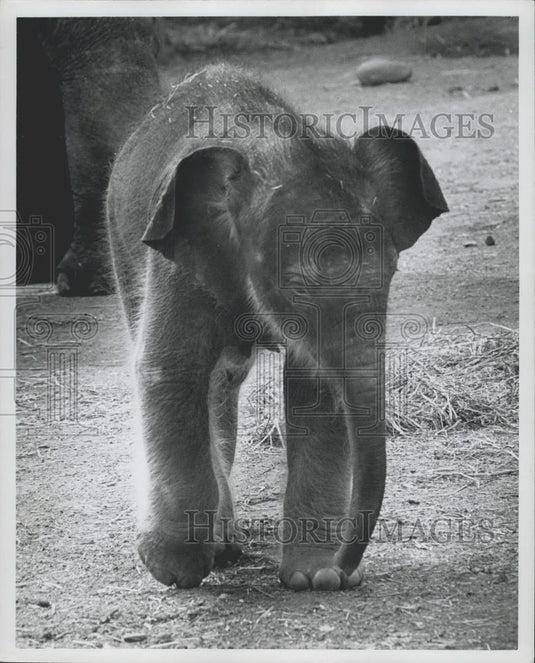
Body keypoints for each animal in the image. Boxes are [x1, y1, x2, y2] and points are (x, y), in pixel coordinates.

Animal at [107, 63, 448, 590]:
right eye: (293, 286)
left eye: (392, 271)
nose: (346, 570)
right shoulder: (176, 262)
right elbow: (171, 369)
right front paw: (174, 569)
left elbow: (315, 390)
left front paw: (312, 578)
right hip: (121, 244)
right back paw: (217, 548)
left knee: (225, 380)